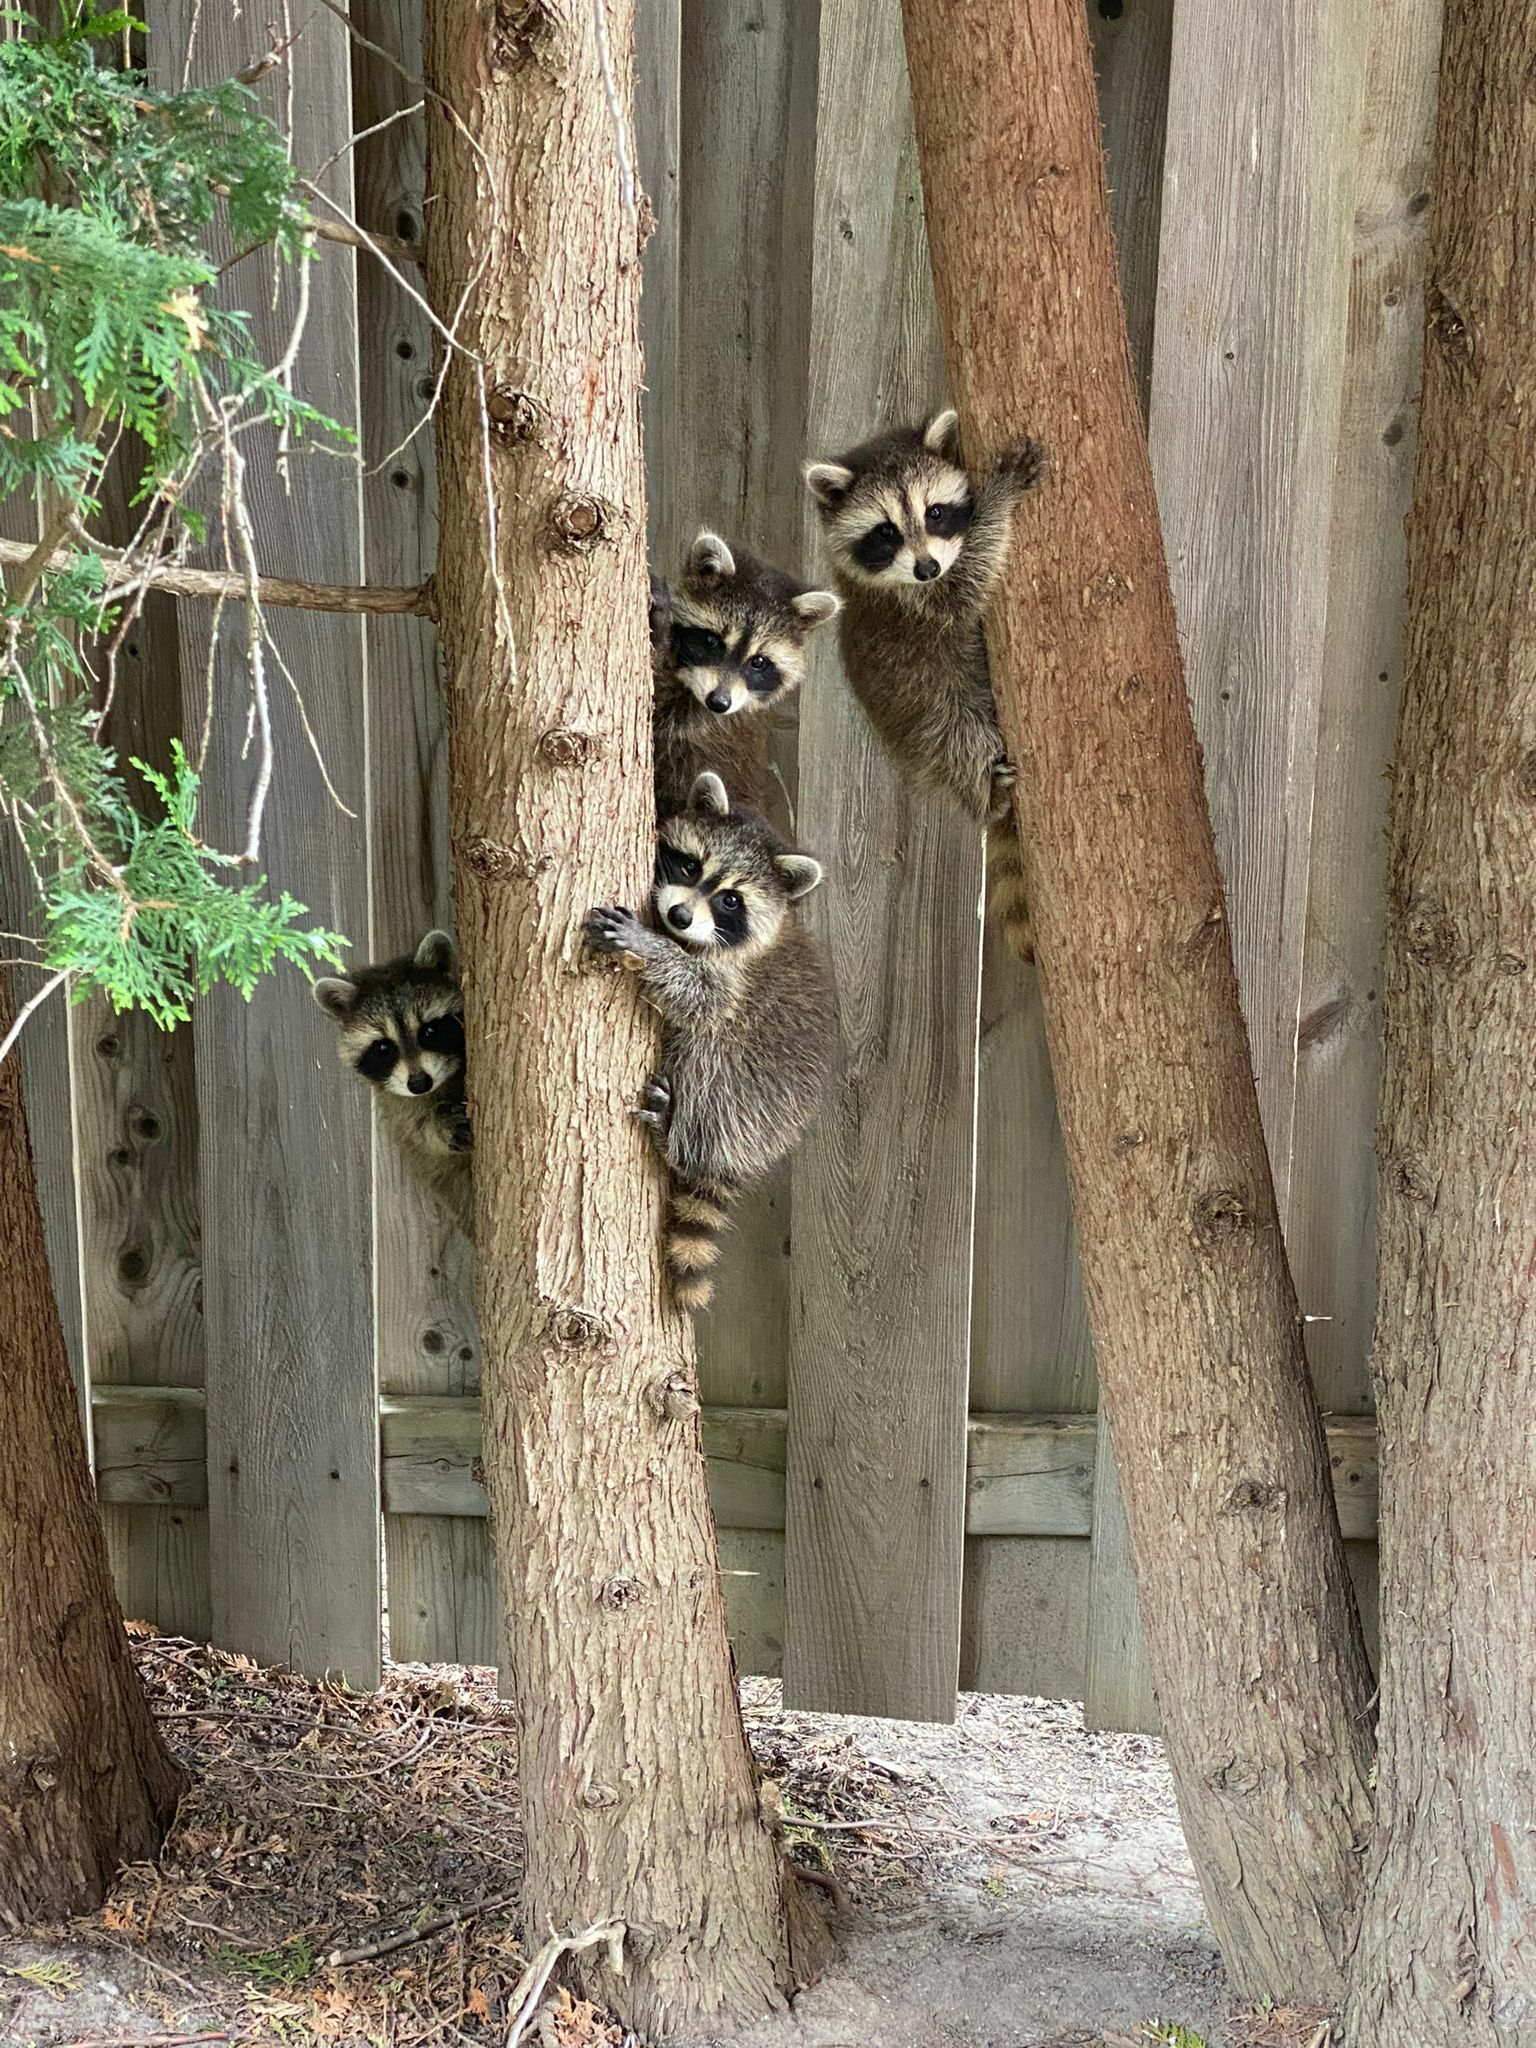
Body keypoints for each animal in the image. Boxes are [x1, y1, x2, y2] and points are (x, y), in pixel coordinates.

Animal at [313, 933, 475, 1245]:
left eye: (430, 1031)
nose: (420, 1083)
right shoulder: (397, 1104)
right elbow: (417, 1131)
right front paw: (438, 1127)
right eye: (383, 1048)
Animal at [581, 770, 835, 1310]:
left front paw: (650, 947)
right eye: (691, 864)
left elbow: (699, 998)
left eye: (730, 900)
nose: (678, 916)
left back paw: (676, 1138)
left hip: (747, 1096)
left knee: (707, 1058)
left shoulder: (735, 985)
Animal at [806, 409, 1048, 966]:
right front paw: (1000, 499)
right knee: (961, 740)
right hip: (933, 723)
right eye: (886, 532)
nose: (926, 566)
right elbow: (964, 583)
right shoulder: (918, 604)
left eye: (935, 512)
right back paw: (986, 795)